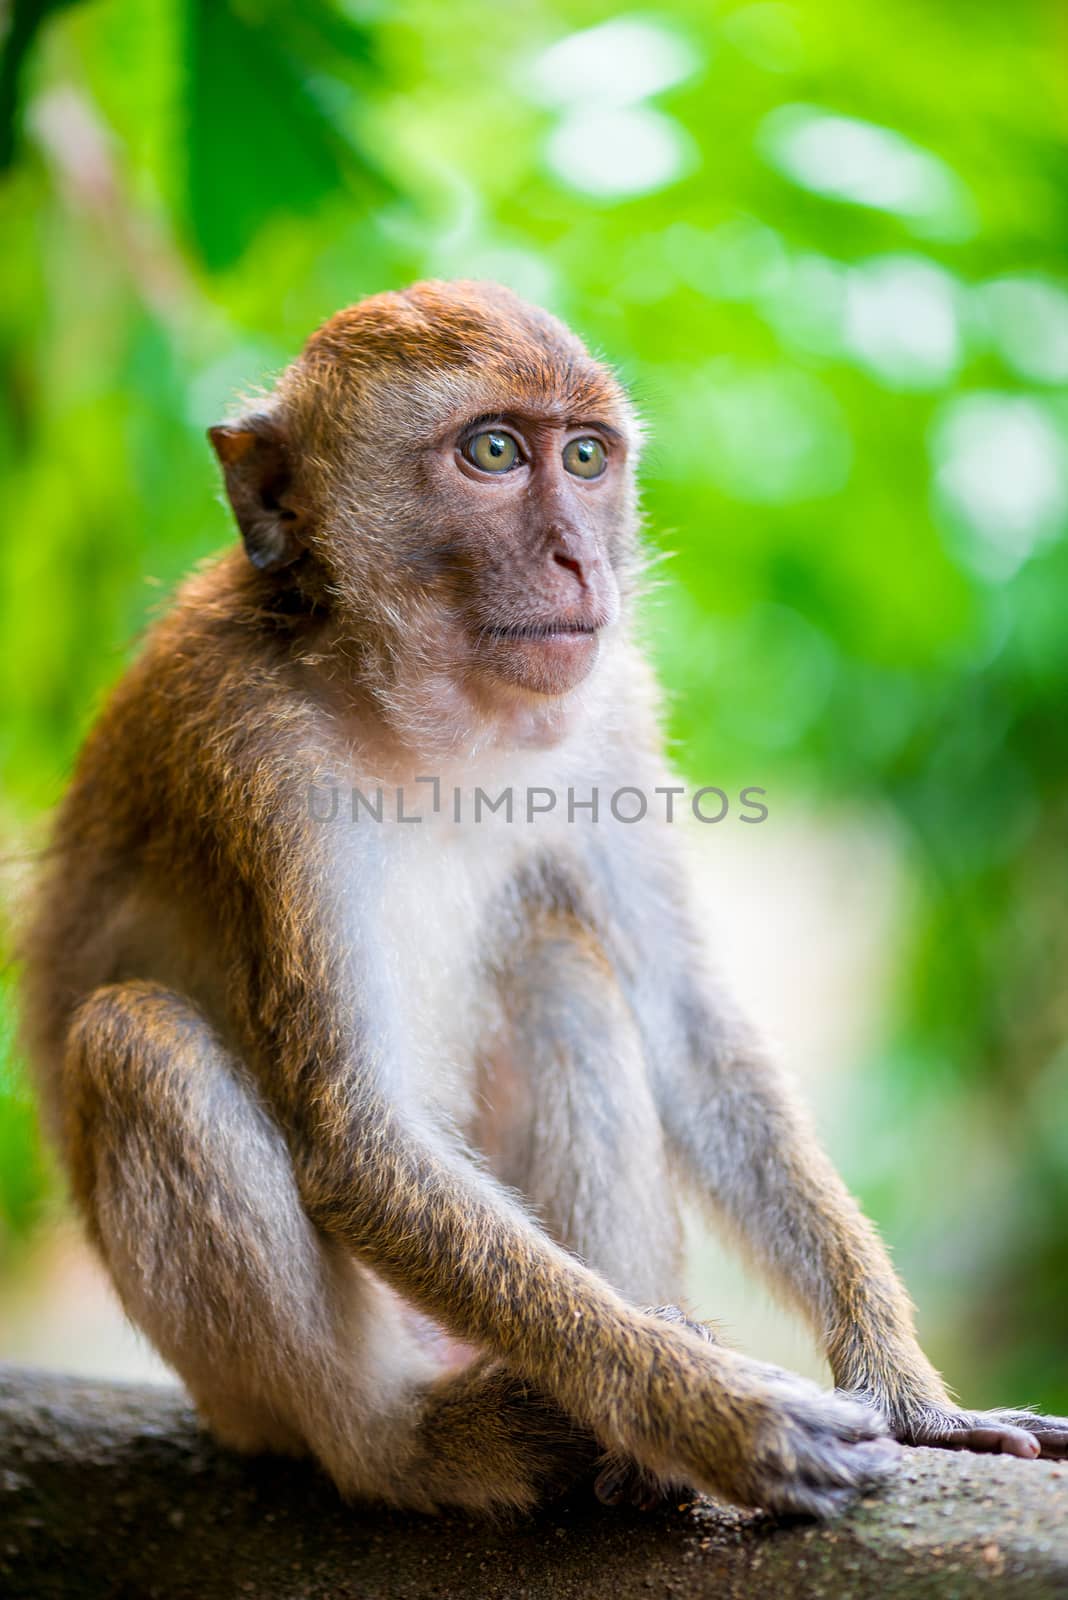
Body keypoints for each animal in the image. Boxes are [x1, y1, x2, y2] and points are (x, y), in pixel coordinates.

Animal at [18, 281, 1068, 1516]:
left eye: (584, 455)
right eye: (493, 452)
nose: (579, 559)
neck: (422, 722)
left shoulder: (608, 711)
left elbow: (683, 1023)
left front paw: (911, 1396)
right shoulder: (247, 752)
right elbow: (360, 1139)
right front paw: (716, 1411)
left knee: (560, 963)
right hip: (266, 1392)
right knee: (140, 1042)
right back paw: (409, 1439)